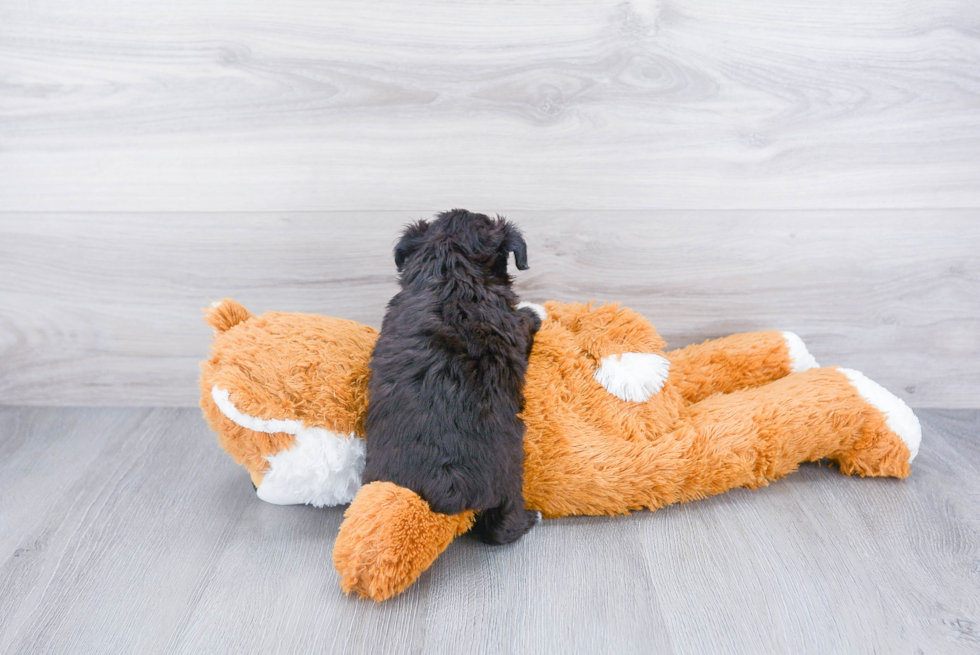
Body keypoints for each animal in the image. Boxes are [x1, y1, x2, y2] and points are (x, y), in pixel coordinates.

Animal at [362, 210, 544, 544]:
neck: (452, 273)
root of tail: (448, 487)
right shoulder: (515, 327)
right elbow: (526, 320)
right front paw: (536, 310)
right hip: (509, 477)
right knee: (501, 527)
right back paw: (532, 517)